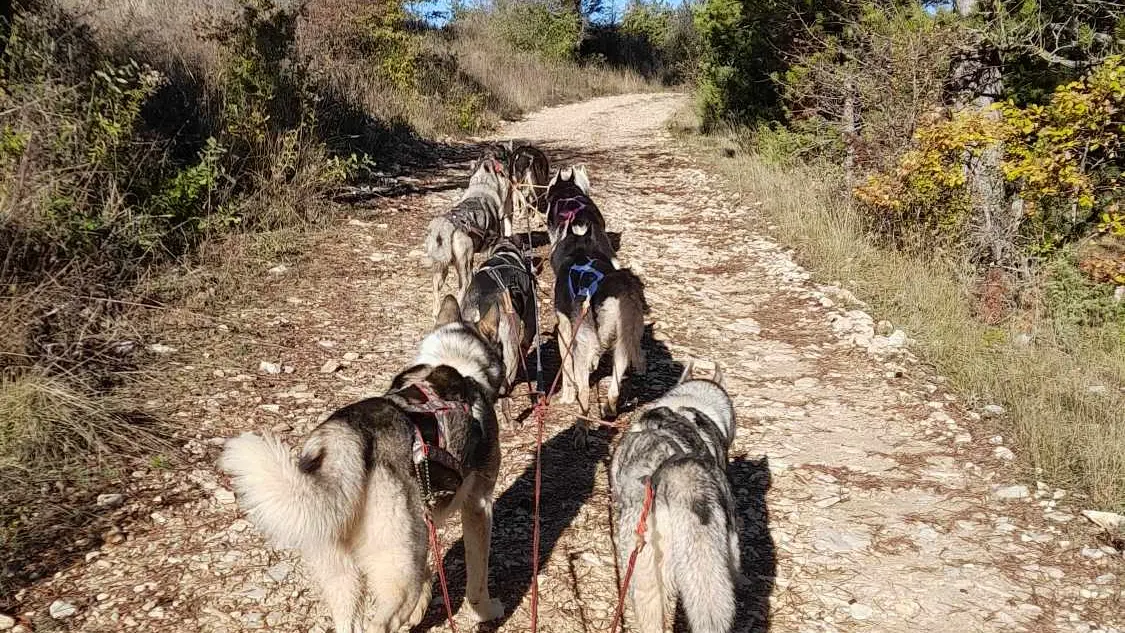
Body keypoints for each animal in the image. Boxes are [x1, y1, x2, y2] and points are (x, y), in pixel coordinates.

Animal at [218, 296, 506, 633]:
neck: (457, 362)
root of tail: (346, 438)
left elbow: (427, 576)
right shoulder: (479, 506)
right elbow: (478, 580)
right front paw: (486, 610)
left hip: (346, 576)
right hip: (399, 569)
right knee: (380, 623)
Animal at [423, 155, 515, 317]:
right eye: (503, 173)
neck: (482, 184)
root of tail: (447, 225)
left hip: (441, 267)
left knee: (436, 288)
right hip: (463, 263)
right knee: (462, 288)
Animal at [551, 212, 648, 440]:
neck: (580, 251)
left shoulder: (565, 329)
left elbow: (566, 368)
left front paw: (567, 395)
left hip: (583, 343)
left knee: (585, 393)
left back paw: (581, 426)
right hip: (623, 343)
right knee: (616, 384)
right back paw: (609, 409)